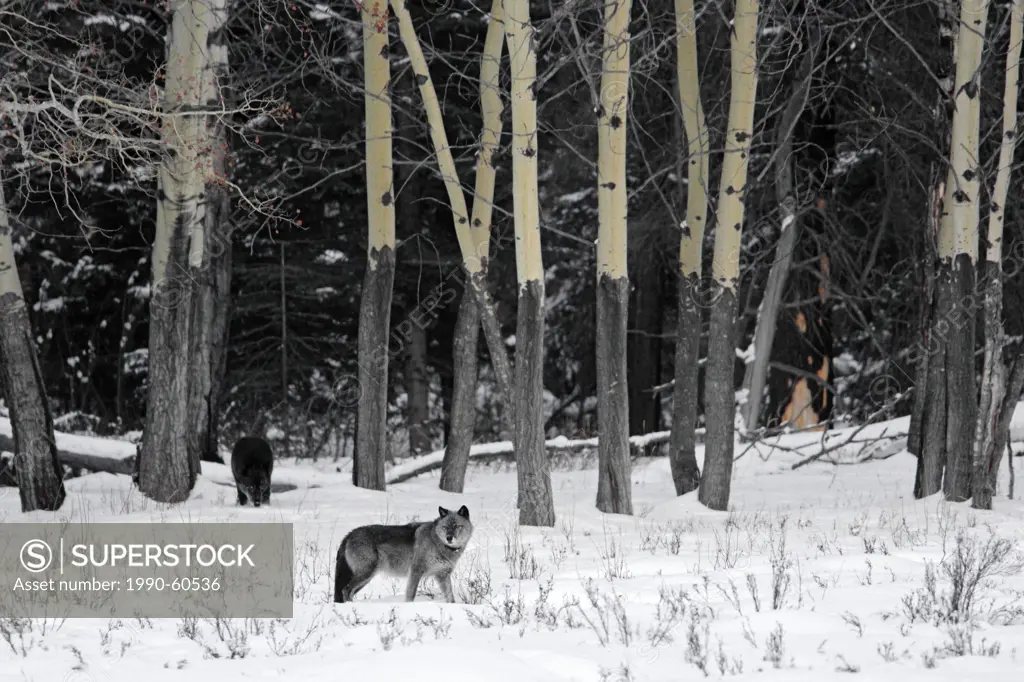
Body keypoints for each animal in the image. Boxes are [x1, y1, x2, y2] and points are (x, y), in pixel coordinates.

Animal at [333, 503, 473, 602]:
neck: (436, 541)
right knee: (345, 590)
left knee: (348, 591)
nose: (449, 538)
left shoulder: (443, 576)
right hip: (366, 574)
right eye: (445, 527)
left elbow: (450, 598)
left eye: (457, 526)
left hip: (366, 578)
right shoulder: (416, 571)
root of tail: (349, 534)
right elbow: (410, 595)